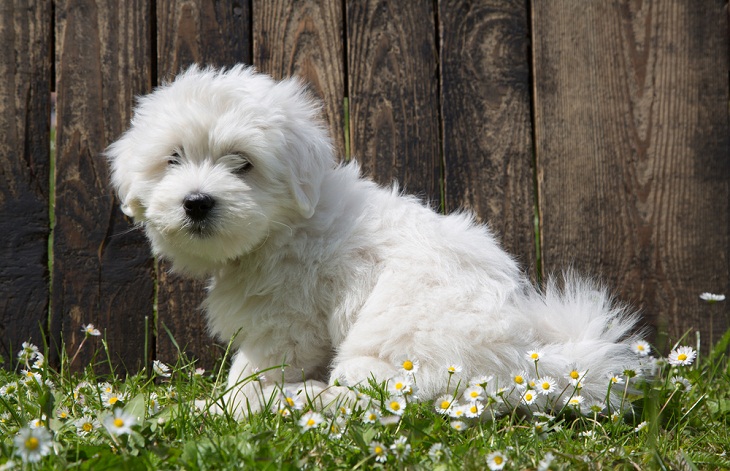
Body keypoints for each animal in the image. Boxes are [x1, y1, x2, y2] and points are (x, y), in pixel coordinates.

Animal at [106, 65, 644, 416]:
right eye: (173, 158)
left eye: (244, 164)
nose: (197, 201)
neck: (285, 224)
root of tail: (531, 362)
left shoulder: (285, 322)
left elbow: (253, 368)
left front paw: (221, 406)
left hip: (396, 351)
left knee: (395, 396)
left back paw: (303, 399)